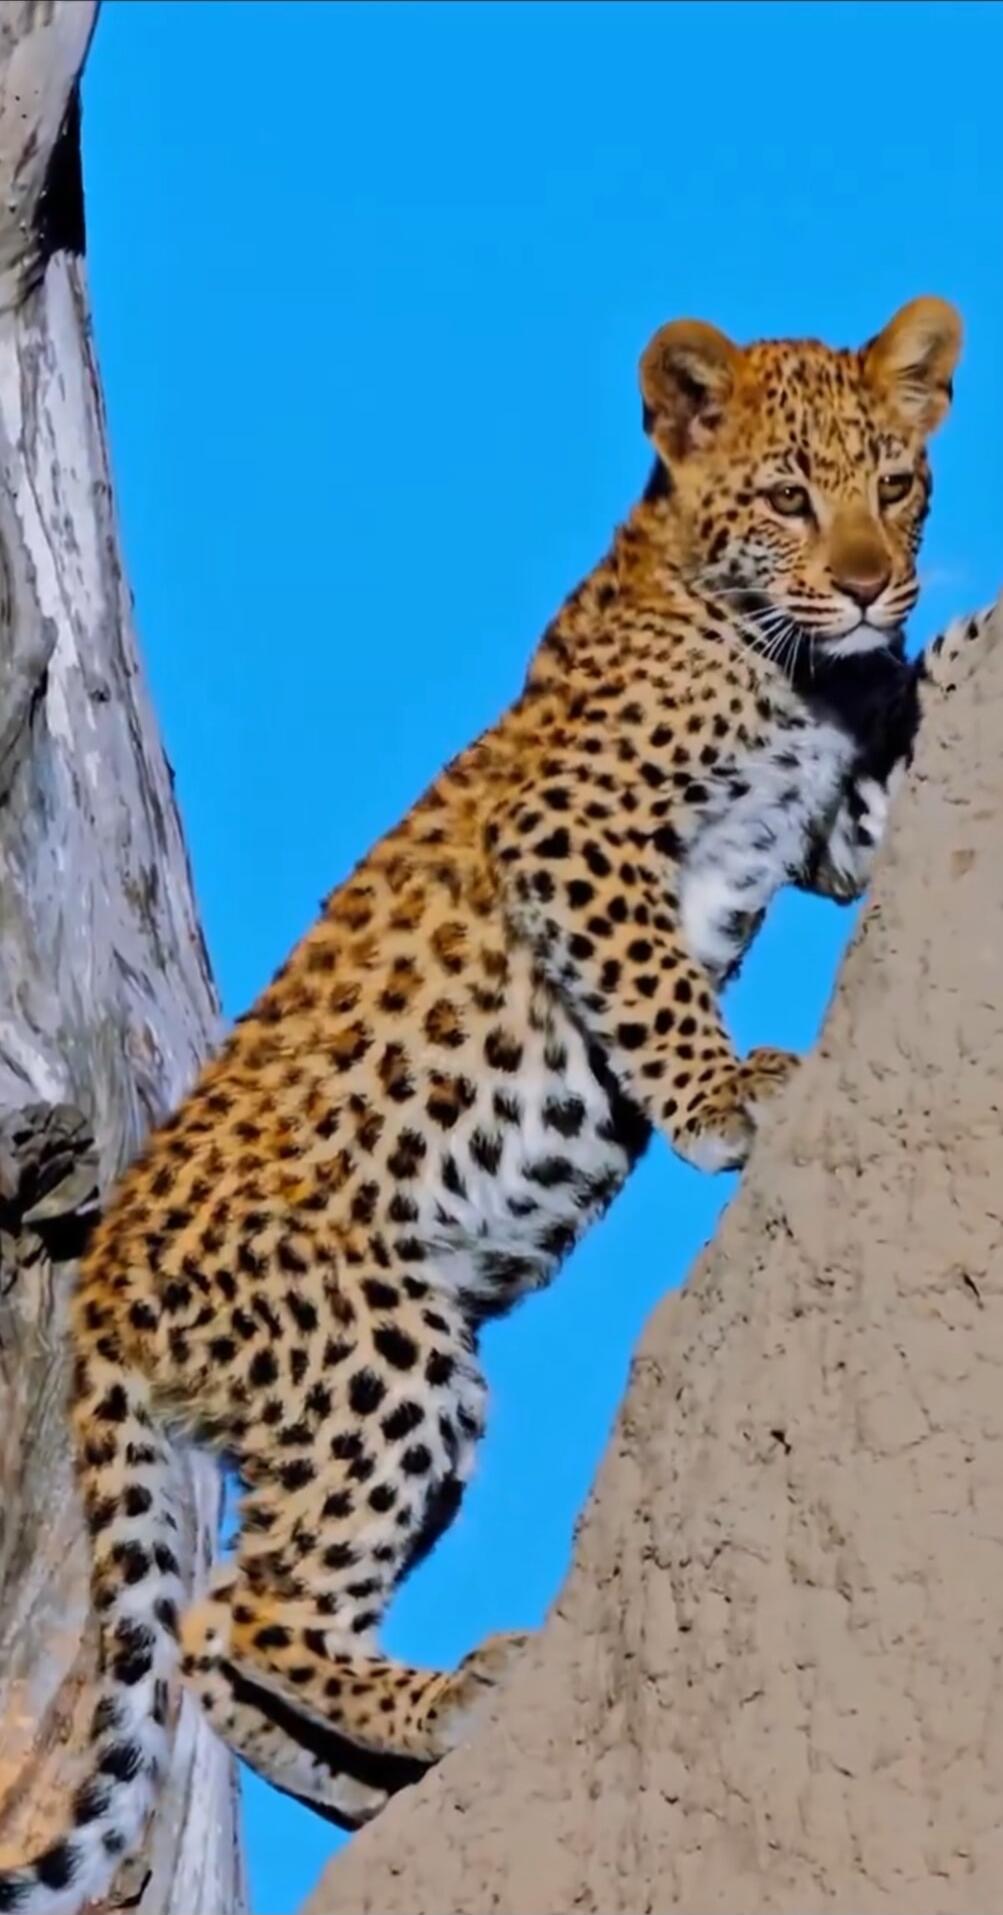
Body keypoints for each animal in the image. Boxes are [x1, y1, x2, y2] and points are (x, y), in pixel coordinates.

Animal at [1, 294, 996, 1914]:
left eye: (896, 485)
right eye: (791, 496)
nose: (868, 583)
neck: (771, 649)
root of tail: (101, 1284)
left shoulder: (840, 830)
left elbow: (894, 771)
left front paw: (961, 642)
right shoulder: (568, 834)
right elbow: (649, 977)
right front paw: (726, 1100)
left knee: (214, 1632)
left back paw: (381, 1773)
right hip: (374, 1350)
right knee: (244, 1604)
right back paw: (441, 1703)